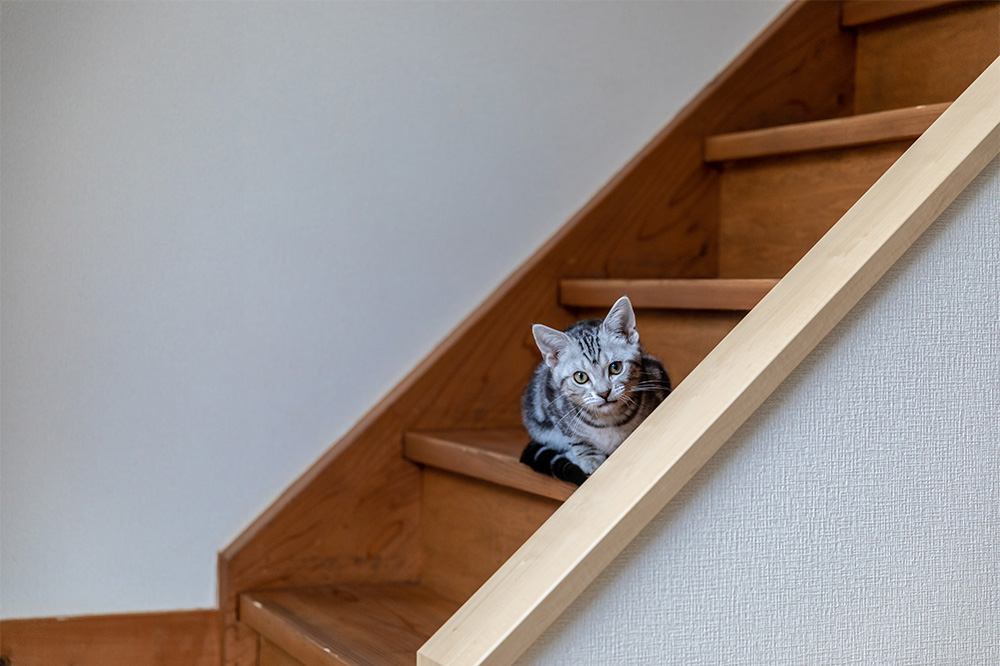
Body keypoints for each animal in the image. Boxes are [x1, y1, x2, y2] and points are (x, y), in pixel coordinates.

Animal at [520, 296, 668, 482]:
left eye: (615, 367)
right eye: (580, 377)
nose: (604, 392)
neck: (608, 421)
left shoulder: (657, 375)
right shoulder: (552, 402)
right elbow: (575, 437)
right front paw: (589, 457)